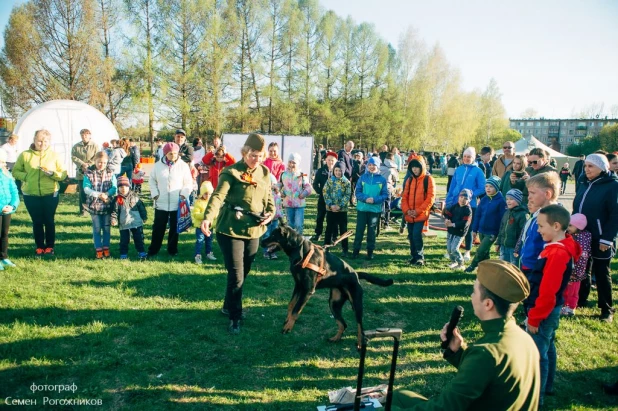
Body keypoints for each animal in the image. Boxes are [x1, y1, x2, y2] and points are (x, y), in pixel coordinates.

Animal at [260, 224, 390, 350]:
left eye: (273, 235)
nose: (261, 242)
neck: (301, 251)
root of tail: (356, 274)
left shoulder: (307, 290)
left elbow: (296, 310)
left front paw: (288, 327)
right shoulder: (298, 285)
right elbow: (291, 305)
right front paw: (287, 321)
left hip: (356, 304)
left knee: (360, 327)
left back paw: (359, 343)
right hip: (334, 303)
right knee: (343, 324)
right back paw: (335, 338)